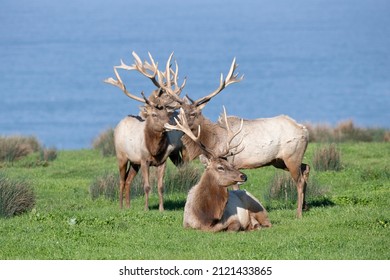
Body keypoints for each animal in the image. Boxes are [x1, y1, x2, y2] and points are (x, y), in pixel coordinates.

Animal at [104, 50, 187, 210]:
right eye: (154, 114)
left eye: (167, 114)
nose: (170, 125)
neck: (154, 149)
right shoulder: (143, 160)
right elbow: (147, 186)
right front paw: (146, 208)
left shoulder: (162, 161)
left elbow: (161, 187)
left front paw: (161, 209)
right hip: (121, 156)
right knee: (121, 180)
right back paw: (121, 207)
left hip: (134, 162)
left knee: (128, 180)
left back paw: (128, 206)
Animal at [167, 58, 310, 218]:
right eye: (180, 111)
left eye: (193, 113)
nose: (175, 123)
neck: (212, 140)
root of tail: (304, 130)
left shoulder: (233, 161)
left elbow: (235, 188)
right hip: (279, 160)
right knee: (306, 168)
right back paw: (305, 206)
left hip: (291, 156)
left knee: (299, 180)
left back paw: (298, 213)